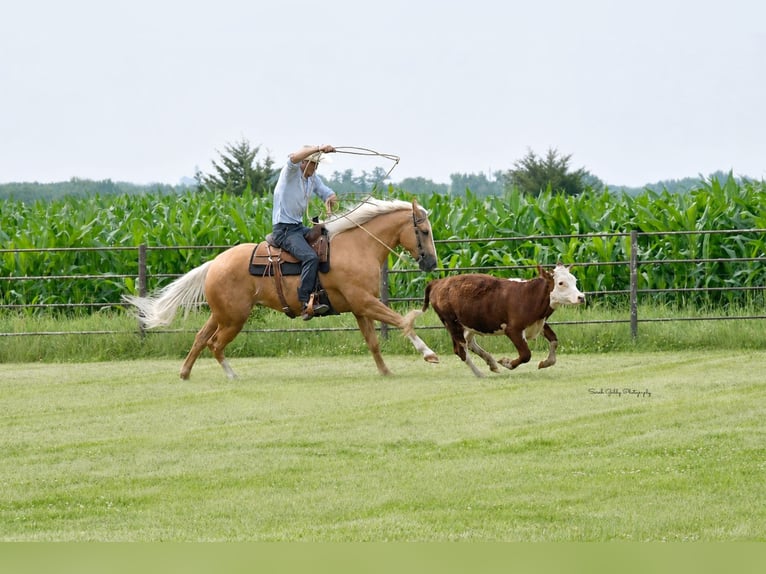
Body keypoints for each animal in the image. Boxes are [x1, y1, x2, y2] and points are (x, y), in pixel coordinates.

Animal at [123, 198, 440, 379]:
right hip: (233, 319)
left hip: (221, 315)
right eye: (424, 231)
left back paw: (185, 373)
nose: (431, 262)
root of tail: (214, 263)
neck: (358, 246)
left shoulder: (360, 307)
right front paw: (428, 354)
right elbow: (403, 322)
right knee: (215, 343)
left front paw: (385, 371)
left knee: (201, 338)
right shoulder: (365, 302)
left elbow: (373, 342)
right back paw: (231, 375)